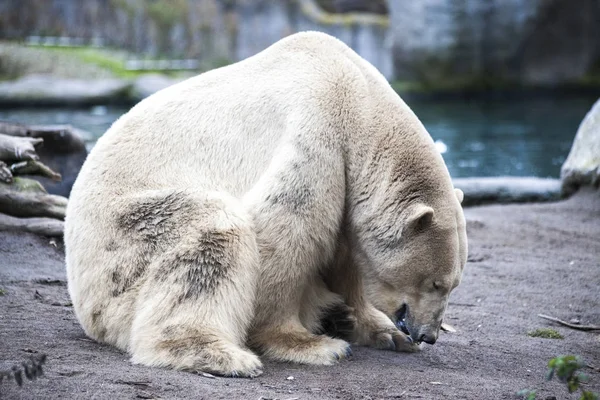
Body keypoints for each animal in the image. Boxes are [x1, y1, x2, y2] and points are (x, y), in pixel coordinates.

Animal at [65, 32, 468, 378]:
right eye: (436, 283)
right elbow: (285, 232)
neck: (362, 105)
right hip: (125, 243)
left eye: (452, 284)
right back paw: (221, 354)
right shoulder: (317, 135)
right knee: (210, 232)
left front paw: (381, 331)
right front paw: (309, 344)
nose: (428, 334)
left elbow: (346, 253)